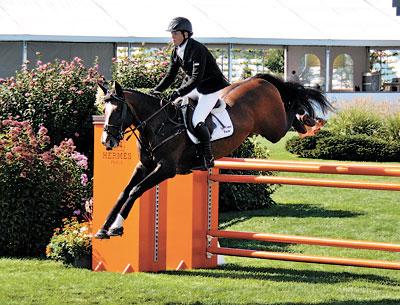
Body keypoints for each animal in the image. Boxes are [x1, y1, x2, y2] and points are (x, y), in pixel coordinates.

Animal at [93, 73, 332, 238]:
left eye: (117, 111)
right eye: (103, 111)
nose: (107, 142)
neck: (158, 124)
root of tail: (259, 80)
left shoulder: (166, 169)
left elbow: (135, 190)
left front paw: (116, 228)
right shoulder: (144, 166)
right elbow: (124, 192)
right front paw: (103, 228)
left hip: (273, 129)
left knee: (291, 110)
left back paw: (309, 121)